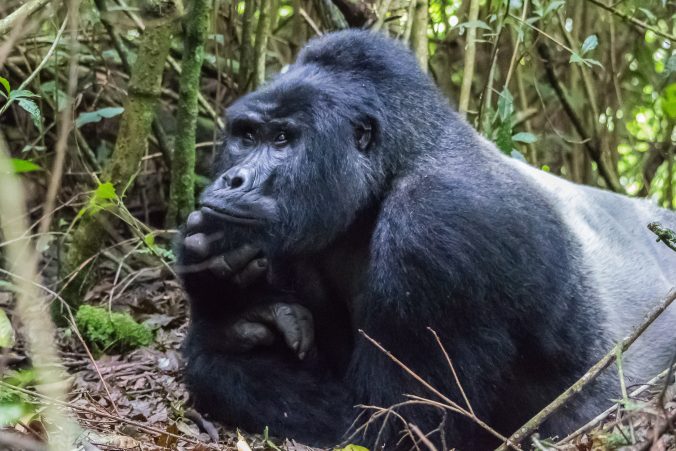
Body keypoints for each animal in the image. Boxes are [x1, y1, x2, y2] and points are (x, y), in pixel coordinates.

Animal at [177, 30, 676, 450]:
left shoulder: (439, 228)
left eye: (282, 139)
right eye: (246, 136)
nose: (232, 180)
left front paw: (217, 331)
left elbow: (389, 427)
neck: (400, 161)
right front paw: (228, 298)